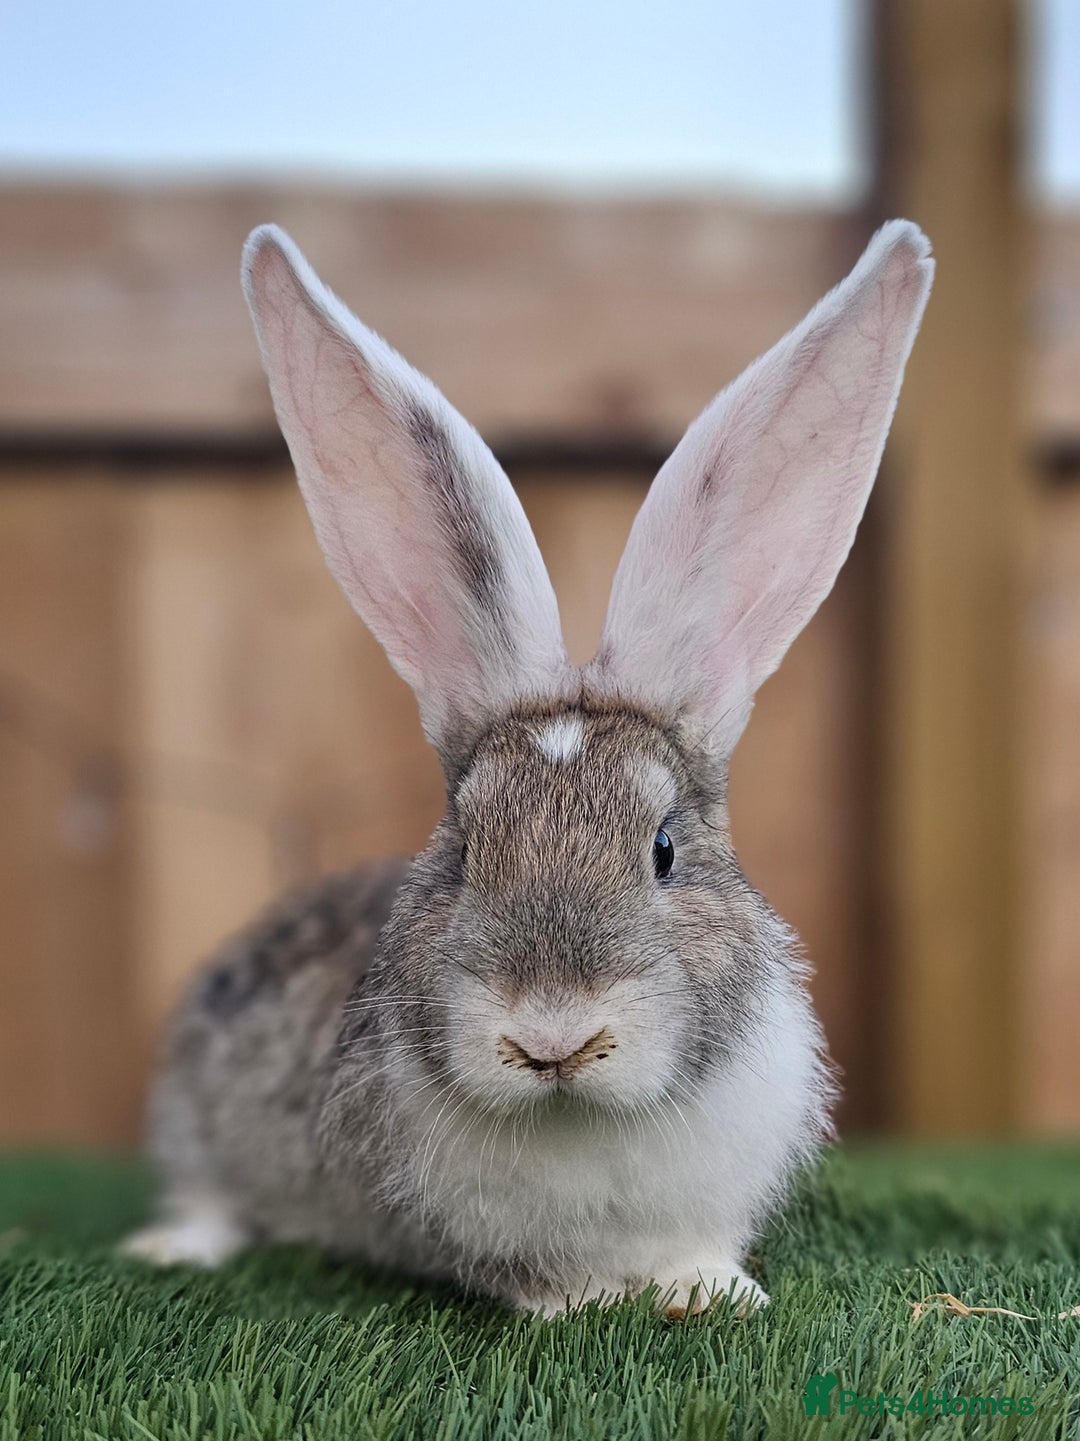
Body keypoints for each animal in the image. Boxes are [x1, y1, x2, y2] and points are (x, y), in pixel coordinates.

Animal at [120, 219, 932, 1318]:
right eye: (463, 851)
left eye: (665, 849)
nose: (554, 1037)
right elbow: (543, 1280)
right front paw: (583, 1304)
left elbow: (696, 1250)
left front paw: (712, 1293)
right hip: (197, 1112)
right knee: (206, 1193)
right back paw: (169, 1247)